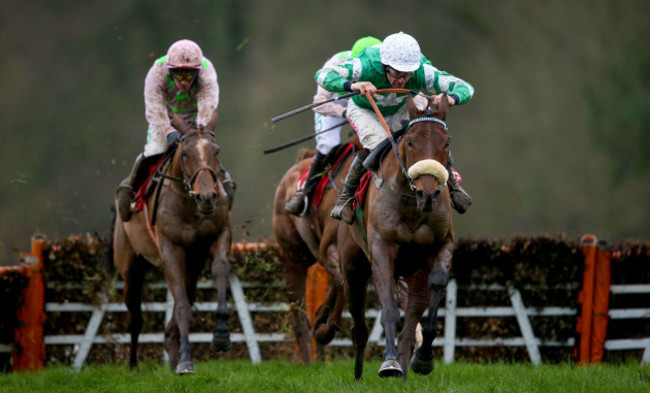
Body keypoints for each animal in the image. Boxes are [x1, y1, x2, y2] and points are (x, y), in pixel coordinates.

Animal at [112, 113, 232, 374]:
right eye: (185, 153)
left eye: (217, 151)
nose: (206, 197)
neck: (190, 206)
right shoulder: (171, 250)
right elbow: (182, 307)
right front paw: (186, 360)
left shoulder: (219, 236)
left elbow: (220, 268)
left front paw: (221, 335)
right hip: (131, 267)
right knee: (136, 317)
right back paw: (133, 364)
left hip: (192, 267)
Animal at [270, 142, 356, 362]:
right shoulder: (331, 248)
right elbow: (342, 284)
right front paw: (325, 329)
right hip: (293, 258)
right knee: (299, 316)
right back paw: (309, 360)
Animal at [336, 93, 454, 378]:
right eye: (410, 142)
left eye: (446, 143)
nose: (428, 194)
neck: (412, 205)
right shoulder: (381, 249)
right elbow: (388, 308)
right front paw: (389, 363)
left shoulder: (442, 245)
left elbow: (437, 285)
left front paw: (424, 358)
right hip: (352, 268)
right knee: (359, 325)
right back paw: (359, 374)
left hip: (414, 274)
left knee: (411, 322)